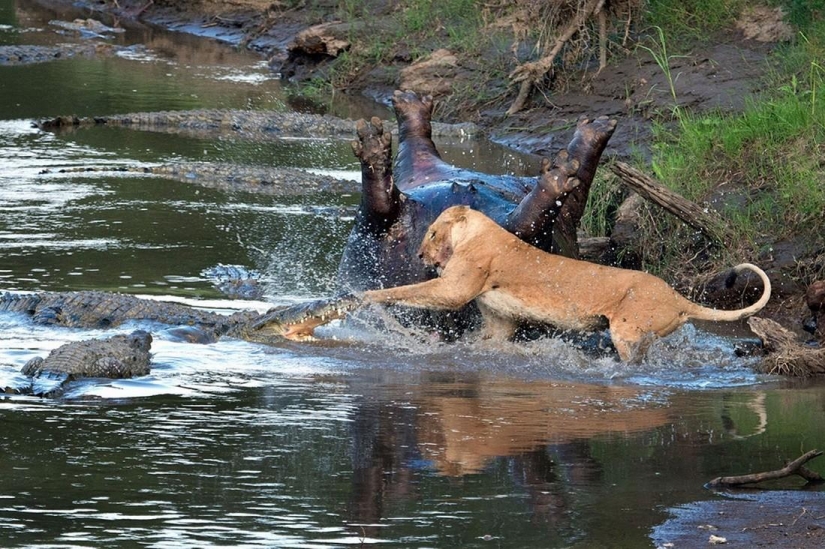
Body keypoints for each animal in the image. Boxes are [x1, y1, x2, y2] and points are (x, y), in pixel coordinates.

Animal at [360, 205, 772, 362]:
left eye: (431, 232)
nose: (419, 256)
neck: (477, 231)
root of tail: (677, 297)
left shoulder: (454, 290)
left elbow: (404, 293)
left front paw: (361, 296)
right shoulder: (499, 323)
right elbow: (482, 342)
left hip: (626, 331)